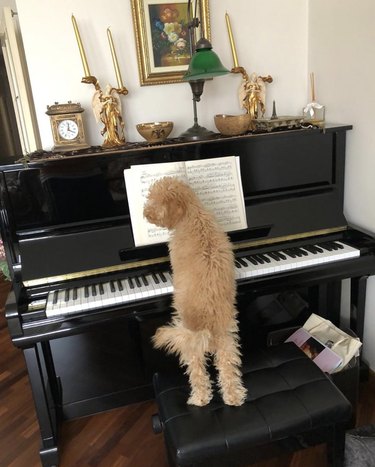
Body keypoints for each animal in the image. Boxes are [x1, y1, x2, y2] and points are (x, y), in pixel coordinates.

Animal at [143, 177, 247, 408]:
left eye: (154, 201)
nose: (145, 213)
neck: (192, 213)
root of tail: (207, 325)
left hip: (189, 344)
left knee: (198, 374)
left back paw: (199, 398)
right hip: (228, 340)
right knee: (228, 371)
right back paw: (234, 397)